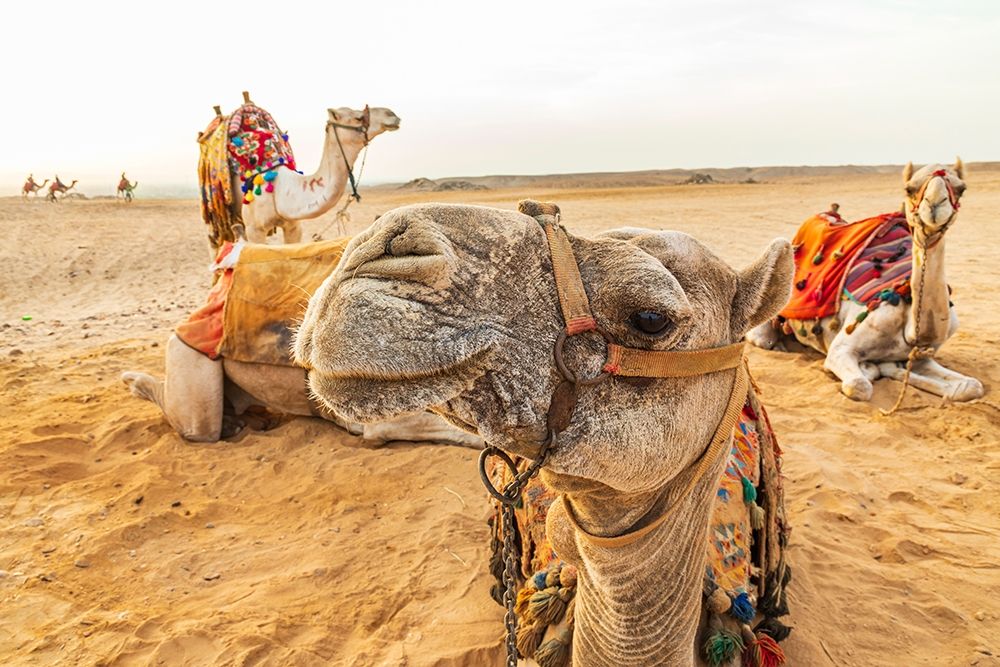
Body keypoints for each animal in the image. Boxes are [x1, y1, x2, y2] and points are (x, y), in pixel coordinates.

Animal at [198, 93, 400, 251]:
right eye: (358, 117)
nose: (392, 115)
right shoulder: (255, 228)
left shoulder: (293, 225)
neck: (279, 189)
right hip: (213, 210)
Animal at [747, 159, 983, 403]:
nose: (935, 205)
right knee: (762, 337)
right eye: (909, 188)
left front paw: (891, 367)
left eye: (961, 188)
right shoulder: (841, 348)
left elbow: (971, 386)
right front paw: (874, 368)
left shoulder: (922, 355)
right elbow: (860, 385)